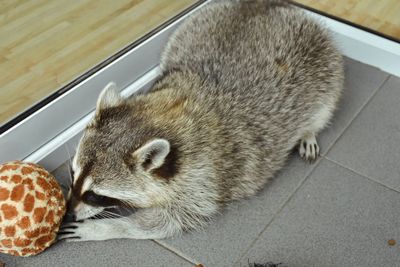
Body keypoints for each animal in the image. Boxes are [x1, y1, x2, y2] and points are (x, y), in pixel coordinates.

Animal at [59, 0, 344, 243]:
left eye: (96, 194)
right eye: (72, 173)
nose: (68, 212)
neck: (165, 111)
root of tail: (264, 4)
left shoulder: (203, 176)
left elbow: (169, 221)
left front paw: (106, 228)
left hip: (327, 65)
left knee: (324, 107)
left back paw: (309, 131)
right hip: (190, 28)